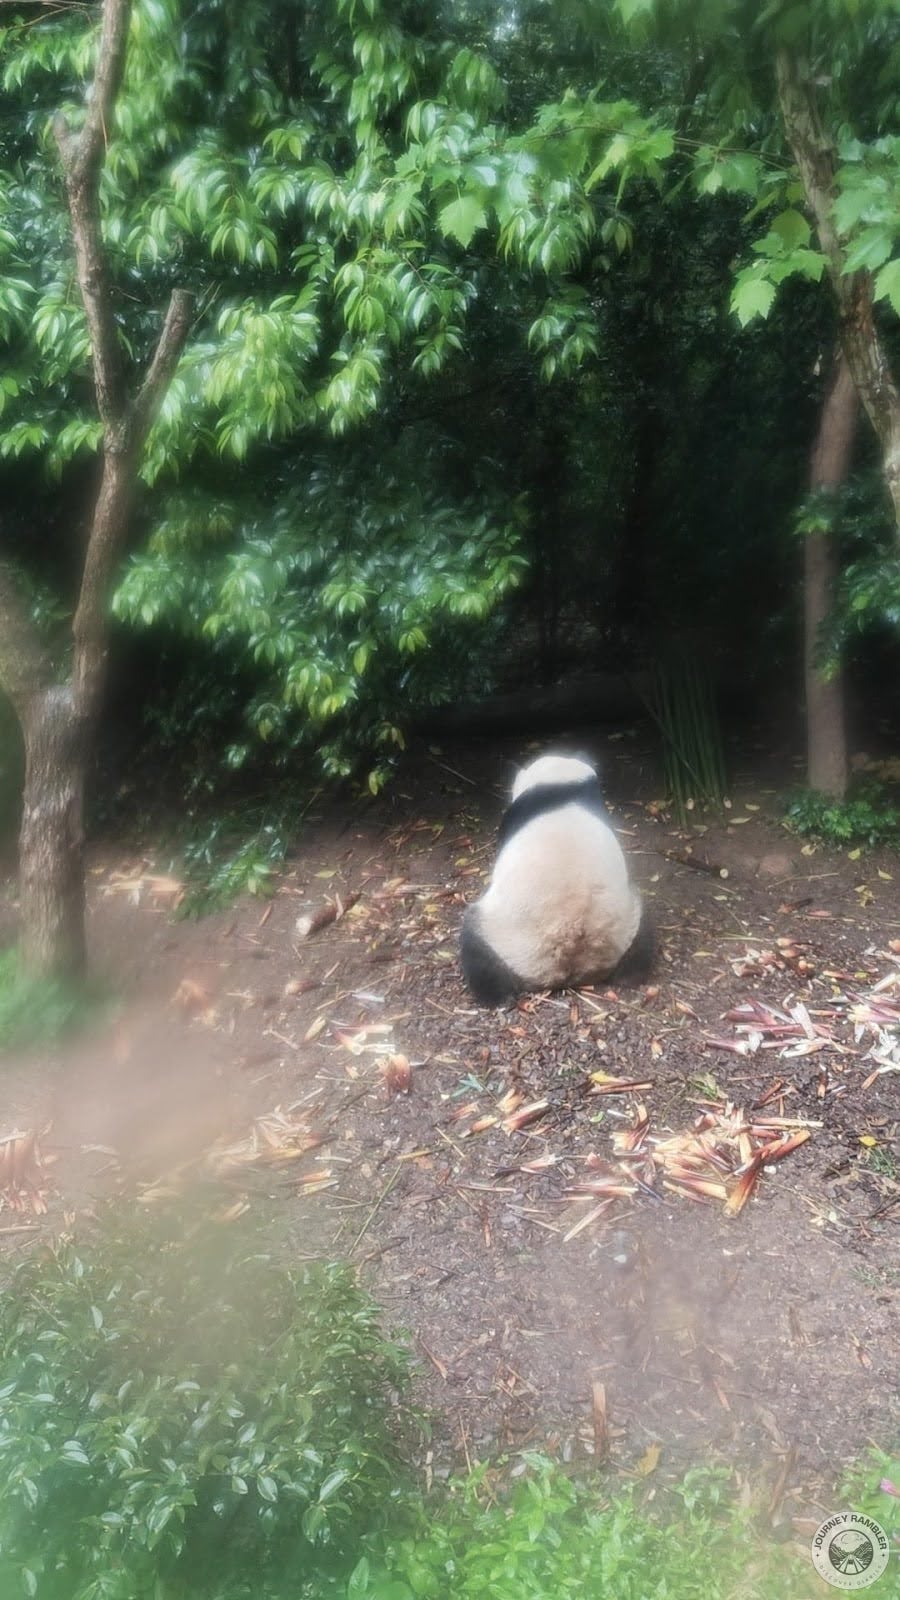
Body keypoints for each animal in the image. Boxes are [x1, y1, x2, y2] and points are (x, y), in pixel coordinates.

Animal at [459, 751, 653, 1006]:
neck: (560, 786)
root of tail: (569, 957)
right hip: (627, 922)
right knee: (641, 942)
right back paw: (632, 975)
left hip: (506, 934)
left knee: (476, 944)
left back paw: (497, 997)